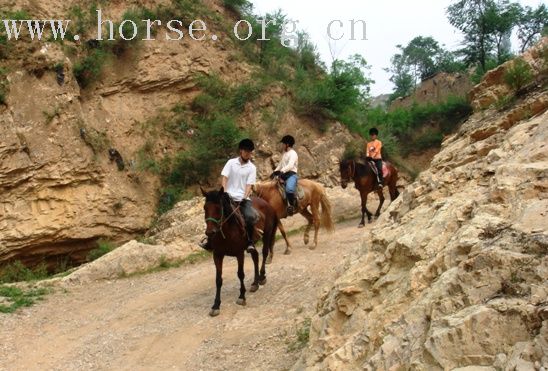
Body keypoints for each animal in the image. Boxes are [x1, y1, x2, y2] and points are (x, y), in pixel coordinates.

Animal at [201, 187, 278, 318]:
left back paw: (262, 277)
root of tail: (267, 203)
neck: (227, 232)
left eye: (218, 208)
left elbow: (240, 274)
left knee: (264, 253)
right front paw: (216, 305)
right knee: (255, 257)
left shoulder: (239, 253)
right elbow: (218, 279)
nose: (210, 232)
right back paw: (255, 283)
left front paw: (242, 296)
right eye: (205, 208)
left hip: (267, 235)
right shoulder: (217, 255)